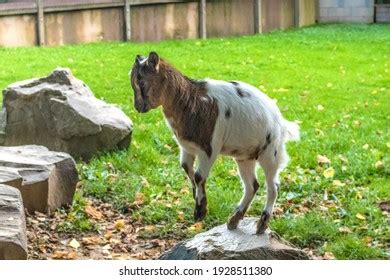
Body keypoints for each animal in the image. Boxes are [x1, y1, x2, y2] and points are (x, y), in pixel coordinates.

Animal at [129, 51, 300, 233]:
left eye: (141, 80)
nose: (138, 107)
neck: (190, 100)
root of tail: (282, 122)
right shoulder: (187, 147)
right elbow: (187, 168)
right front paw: (196, 197)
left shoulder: (209, 147)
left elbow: (198, 176)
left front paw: (200, 211)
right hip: (244, 156)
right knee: (252, 185)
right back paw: (234, 219)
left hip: (270, 152)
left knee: (273, 186)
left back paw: (261, 224)